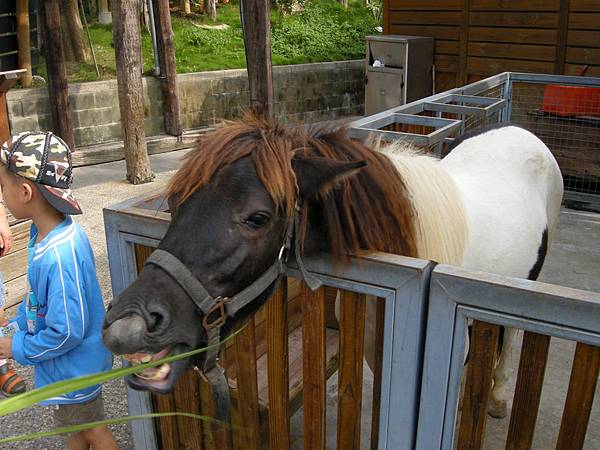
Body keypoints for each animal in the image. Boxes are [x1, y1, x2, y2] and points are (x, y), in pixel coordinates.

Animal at [103, 115, 564, 418]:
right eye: (175, 201)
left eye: (258, 218)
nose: (128, 325)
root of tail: (523, 132)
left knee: (513, 336)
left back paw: (499, 396)